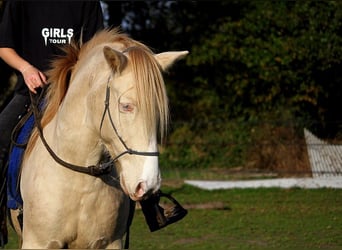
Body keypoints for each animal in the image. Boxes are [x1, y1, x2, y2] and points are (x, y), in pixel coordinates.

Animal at [11, 29, 187, 248]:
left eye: (157, 111)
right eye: (126, 106)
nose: (148, 185)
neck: (81, 177)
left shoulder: (109, 243)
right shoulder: (38, 243)